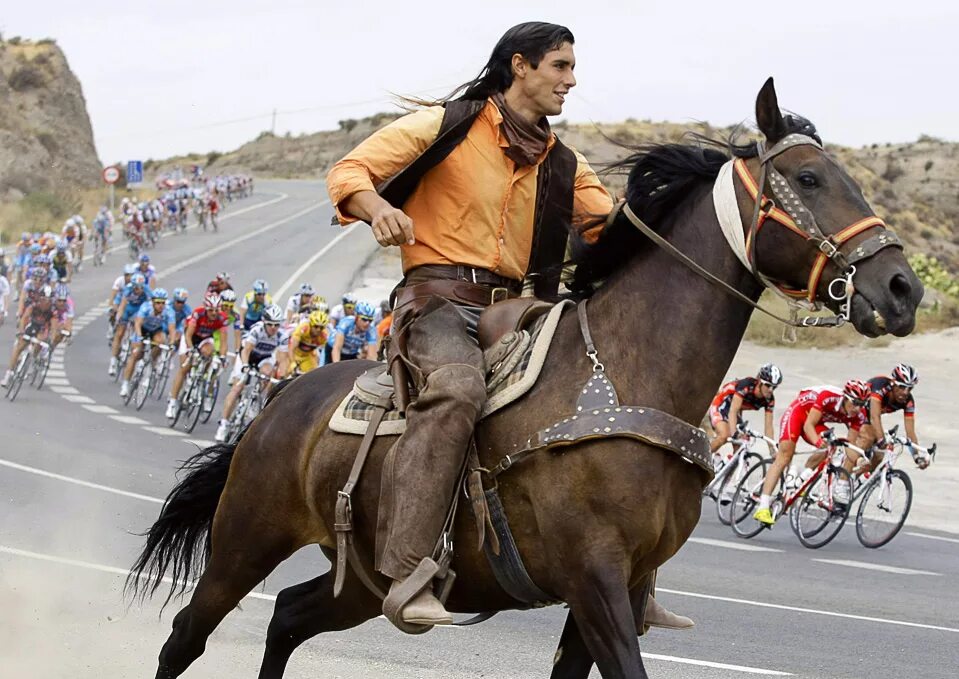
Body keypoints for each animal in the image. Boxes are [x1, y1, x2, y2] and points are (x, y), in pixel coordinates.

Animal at [127, 79, 924, 679]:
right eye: (809, 178)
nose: (902, 288)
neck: (627, 375)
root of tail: (277, 406)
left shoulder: (611, 593)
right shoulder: (595, 582)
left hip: (360, 582)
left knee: (288, 618)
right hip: (245, 539)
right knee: (185, 634)